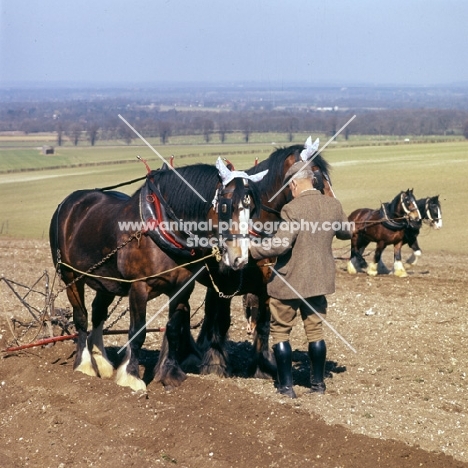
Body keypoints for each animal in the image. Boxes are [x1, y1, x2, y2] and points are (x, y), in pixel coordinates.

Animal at [50, 160, 266, 392]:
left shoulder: (182, 287)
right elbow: (138, 332)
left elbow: (173, 329)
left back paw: (102, 362)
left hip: (106, 281)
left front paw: (170, 374)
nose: (240, 258)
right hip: (70, 275)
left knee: (98, 312)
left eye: (252, 208)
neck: (164, 227)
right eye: (226, 206)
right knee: (81, 316)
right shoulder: (138, 287)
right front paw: (131, 377)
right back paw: (85, 365)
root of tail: (69, 201)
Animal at [195, 135, 336, 380]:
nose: (337, 215)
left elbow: (263, 325)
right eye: (318, 179)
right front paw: (215, 364)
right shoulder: (223, 286)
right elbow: (221, 321)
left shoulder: (266, 289)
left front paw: (263, 367)